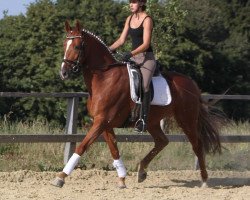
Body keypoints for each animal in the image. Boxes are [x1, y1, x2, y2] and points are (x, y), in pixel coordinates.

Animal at [51, 20, 221, 189]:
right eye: (64, 44)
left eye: (77, 46)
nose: (63, 73)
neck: (104, 77)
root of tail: (192, 84)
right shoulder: (105, 123)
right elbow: (114, 149)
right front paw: (122, 179)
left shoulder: (101, 122)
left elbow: (82, 146)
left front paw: (61, 177)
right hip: (153, 121)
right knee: (162, 141)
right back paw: (141, 171)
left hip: (186, 119)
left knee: (197, 144)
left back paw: (204, 180)